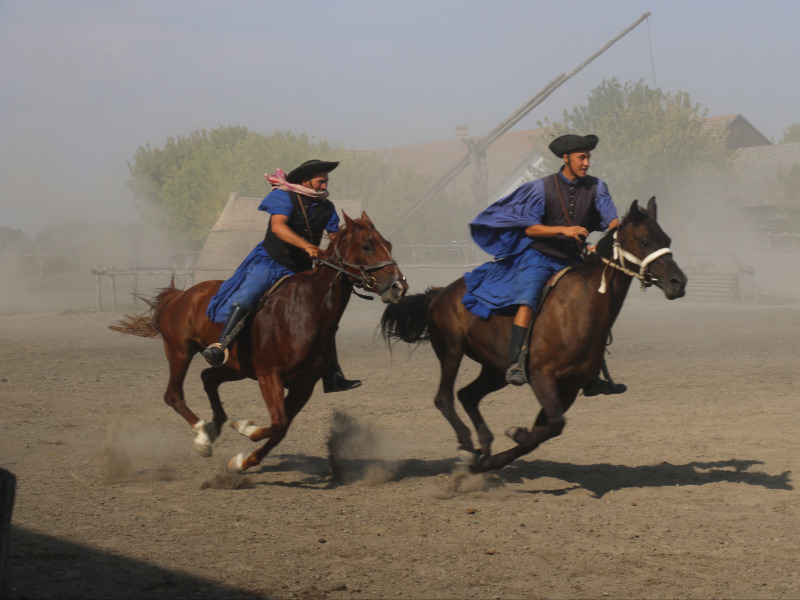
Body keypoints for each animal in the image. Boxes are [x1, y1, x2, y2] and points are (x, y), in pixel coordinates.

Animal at [111, 212, 406, 474]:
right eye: (367, 246)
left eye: (389, 244)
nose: (398, 287)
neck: (303, 309)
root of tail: (181, 296)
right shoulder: (269, 375)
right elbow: (277, 424)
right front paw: (245, 428)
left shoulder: (303, 386)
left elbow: (280, 429)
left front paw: (241, 461)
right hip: (180, 352)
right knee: (173, 395)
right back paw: (202, 436)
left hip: (237, 368)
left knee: (208, 378)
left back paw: (214, 427)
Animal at [382, 197, 688, 474]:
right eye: (645, 241)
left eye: (666, 238)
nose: (679, 283)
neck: (577, 310)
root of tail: (440, 293)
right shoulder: (543, 377)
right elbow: (551, 425)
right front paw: (514, 434)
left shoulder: (569, 387)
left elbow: (546, 429)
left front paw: (499, 454)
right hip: (451, 352)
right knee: (444, 398)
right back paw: (468, 447)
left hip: (495, 370)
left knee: (467, 395)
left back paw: (484, 447)